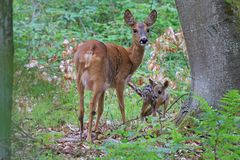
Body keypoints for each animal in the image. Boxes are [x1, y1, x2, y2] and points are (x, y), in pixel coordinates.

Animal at [74, 9, 158, 141]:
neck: (130, 59)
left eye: (148, 29)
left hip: (79, 77)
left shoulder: (106, 87)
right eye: (134, 30)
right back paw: (88, 138)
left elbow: (101, 108)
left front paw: (96, 130)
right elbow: (121, 105)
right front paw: (126, 127)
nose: (144, 40)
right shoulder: (120, 79)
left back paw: (82, 134)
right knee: (91, 104)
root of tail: (89, 51)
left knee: (82, 105)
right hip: (98, 78)